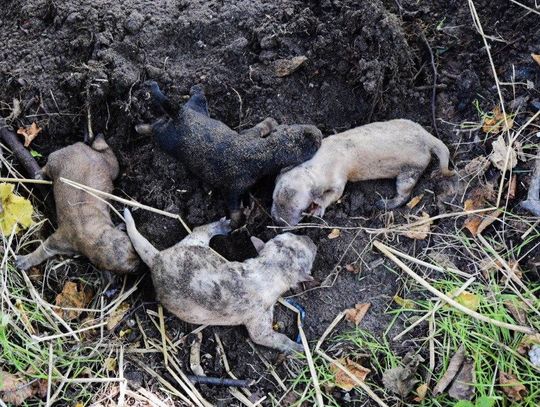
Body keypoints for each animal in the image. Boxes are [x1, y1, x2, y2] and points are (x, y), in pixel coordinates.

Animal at [123, 207, 316, 354]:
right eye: (311, 256)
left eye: (292, 236)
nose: (311, 240)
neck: (270, 268)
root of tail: (157, 258)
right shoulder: (260, 315)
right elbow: (264, 336)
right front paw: (297, 348)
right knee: (199, 230)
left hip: (190, 245)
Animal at [272, 118, 454, 226]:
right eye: (274, 199)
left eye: (297, 207)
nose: (277, 221)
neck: (317, 164)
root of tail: (427, 137)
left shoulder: (338, 176)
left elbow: (335, 194)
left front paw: (318, 206)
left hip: (411, 168)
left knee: (404, 193)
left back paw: (385, 203)